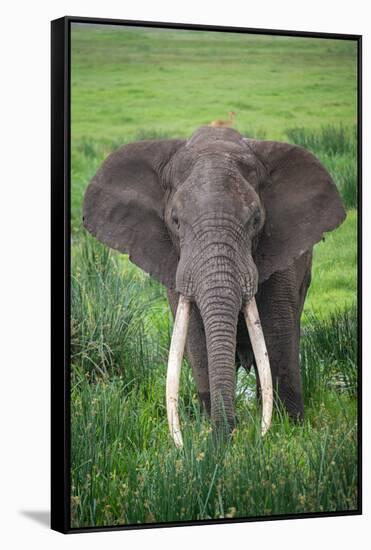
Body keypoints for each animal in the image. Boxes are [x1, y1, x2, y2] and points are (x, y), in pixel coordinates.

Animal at [83, 127, 348, 446]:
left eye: (256, 220)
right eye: (175, 221)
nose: (230, 436)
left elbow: (277, 331)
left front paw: (288, 431)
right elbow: (196, 335)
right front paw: (214, 440)